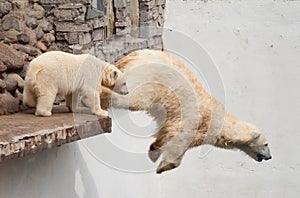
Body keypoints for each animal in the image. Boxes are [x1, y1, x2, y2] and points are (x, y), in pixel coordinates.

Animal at [101, 49, 272, 173]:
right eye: (266, 144)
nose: (270, 157)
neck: (219, 121)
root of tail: (134, 56)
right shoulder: (194, 123)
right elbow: (179, 141)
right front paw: (163, 167)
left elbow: (165, 137)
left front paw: (154, 149)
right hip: (148, 78)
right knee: (135, 99)